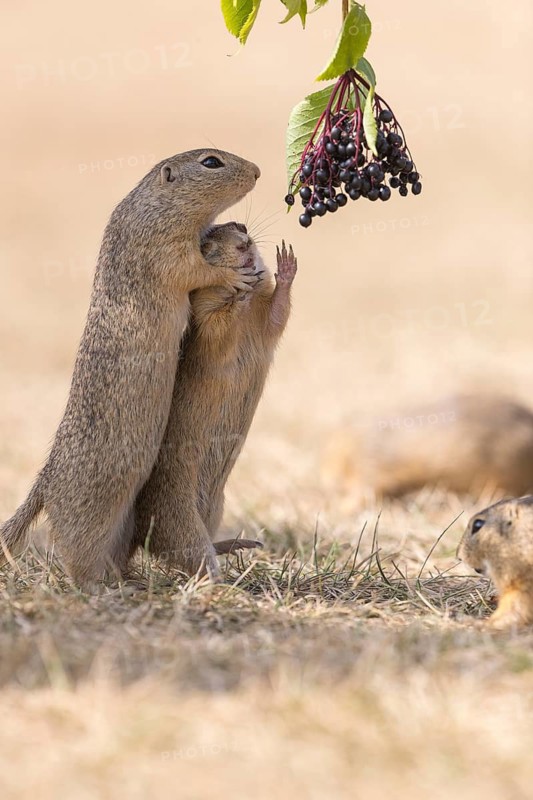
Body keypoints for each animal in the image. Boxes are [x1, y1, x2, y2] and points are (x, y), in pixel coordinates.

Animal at [0, 150, 260, 589]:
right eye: (211, 162)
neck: (158, 206)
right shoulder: (168, 250)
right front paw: (236, 273)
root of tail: (45, 484)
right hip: (91, 517)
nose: (257, 171)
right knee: (76, 557)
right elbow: (199, 272)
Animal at [131, 226, 297, 579]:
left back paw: (239, 544)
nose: (244, 245)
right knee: (192, 558)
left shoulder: (263, 322)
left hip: (216, 509)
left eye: (241, 227)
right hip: (182, 522)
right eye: (205, 245)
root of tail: (140, 539)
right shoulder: (206, 319)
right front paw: (241, 287)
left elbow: (277, 315)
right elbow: (220, 327)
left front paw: (285, 263)